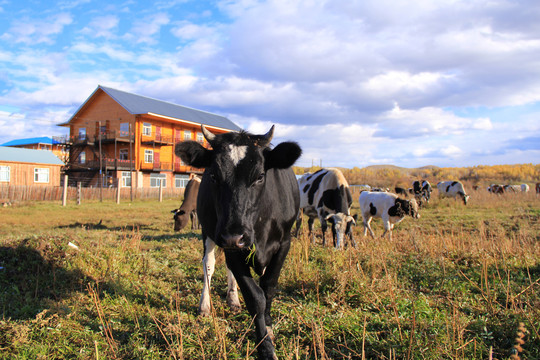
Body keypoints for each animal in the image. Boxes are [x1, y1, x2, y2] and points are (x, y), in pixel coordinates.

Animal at [176, 124, 304, 360]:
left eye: (260, 176)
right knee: (209, 265)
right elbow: (255, 297)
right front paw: (265, 347)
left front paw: (268, 325)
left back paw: (233, 300)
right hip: (210, 233)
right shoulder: (230, 245)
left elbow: (268, 287)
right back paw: (205, 306)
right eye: (214, 176)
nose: (233, 236)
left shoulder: (284, 242)